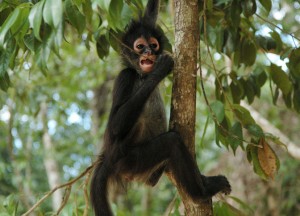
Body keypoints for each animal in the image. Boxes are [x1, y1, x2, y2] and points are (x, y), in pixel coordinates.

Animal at [90, 0, 231, 215]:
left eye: (153, 45)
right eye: (140, 46)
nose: (148, 52)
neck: (141, 75)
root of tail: (110, 159)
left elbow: (151, 13)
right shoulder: (125, 77)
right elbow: (115, 127)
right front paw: (160, 69)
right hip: (132, 162)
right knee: (172, 141)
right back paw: (202, 192)